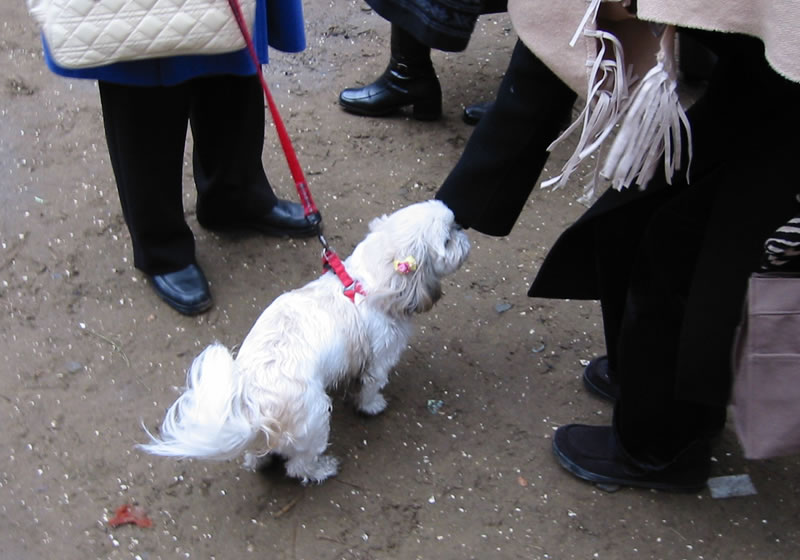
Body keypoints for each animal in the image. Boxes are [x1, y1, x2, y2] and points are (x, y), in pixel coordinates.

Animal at [139, 200, 468, 482]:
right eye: (448, 239)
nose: (463, 231)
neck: (364, 282)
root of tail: (256, 409)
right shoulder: (380, 359)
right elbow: (371, 387)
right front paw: (372, 405)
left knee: (258, 455)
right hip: (316, 420)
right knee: (299, 466)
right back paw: (323, 468)